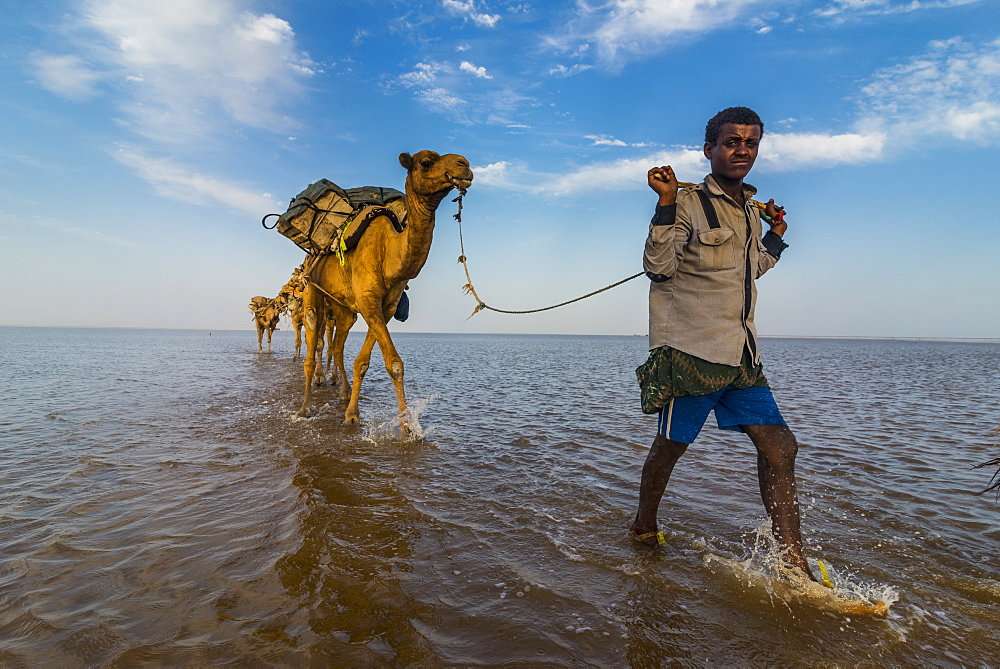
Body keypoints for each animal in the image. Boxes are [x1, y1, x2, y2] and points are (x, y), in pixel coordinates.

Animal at [296, 149, 472, 428]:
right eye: (426, 162)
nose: (464, 164)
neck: (389, 253)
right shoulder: (368, 301)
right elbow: (394, 363)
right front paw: (406, 429)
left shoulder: (385, 307)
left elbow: (365, 362)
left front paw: (354, 414)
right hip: (311, 287)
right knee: (312, 346)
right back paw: (304, 408)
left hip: (343, 306)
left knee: (338, 344)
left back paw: (343, 391)